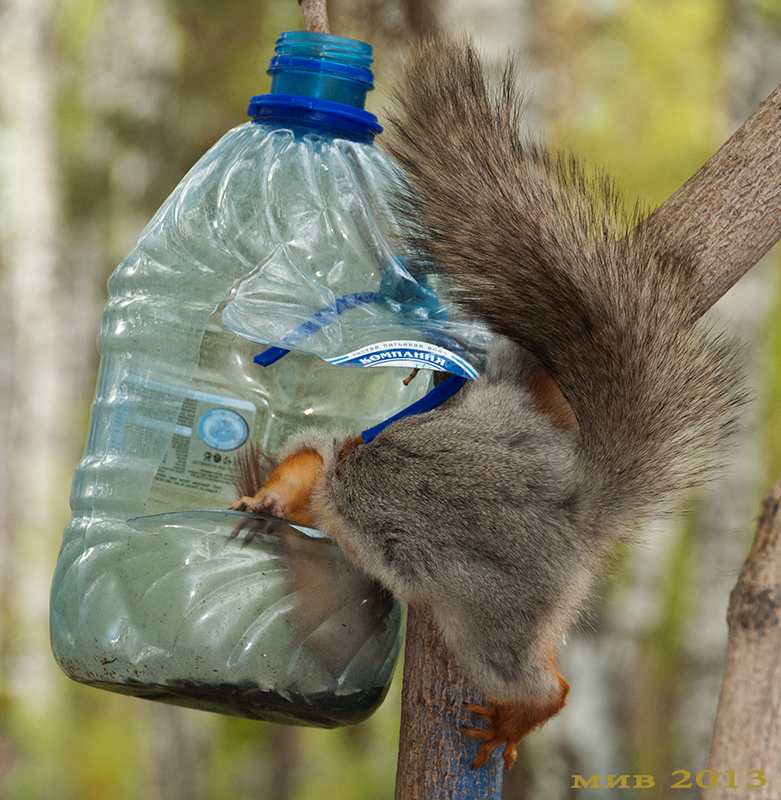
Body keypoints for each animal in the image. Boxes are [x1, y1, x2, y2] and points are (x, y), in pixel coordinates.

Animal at [230, 39, 744, 768]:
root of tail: (571, 514)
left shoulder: (329, 457)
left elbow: (302, 466)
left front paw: (265, 501)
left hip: (492, 618)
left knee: (545, 684)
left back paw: (518, 716)